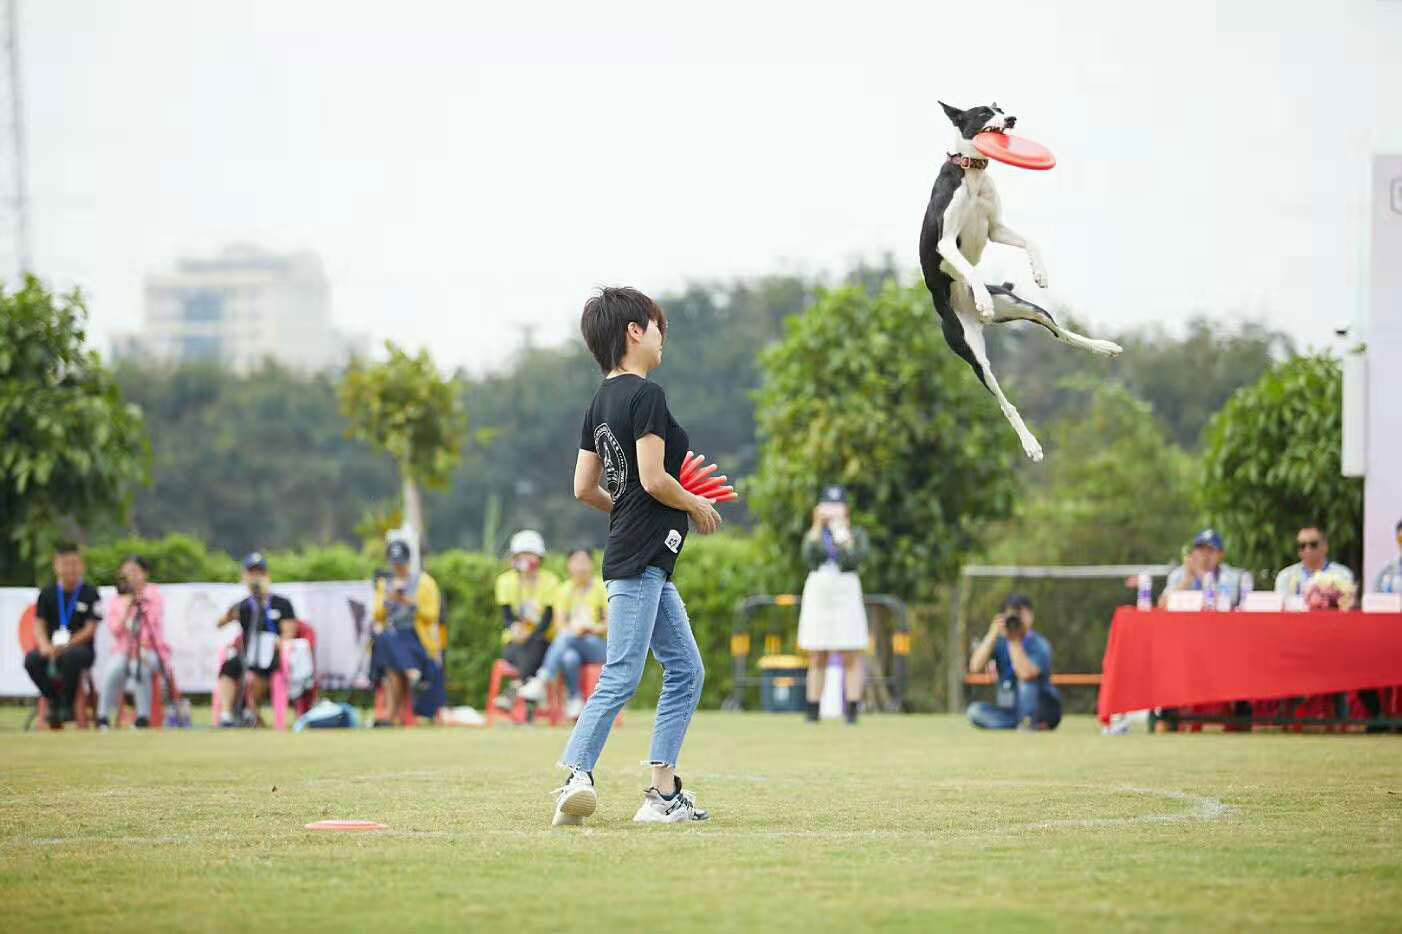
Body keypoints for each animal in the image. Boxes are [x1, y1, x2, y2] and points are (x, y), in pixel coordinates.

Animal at [914, 100, 1121, 457]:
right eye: (983, 113)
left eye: (1001, 107)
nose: (1011, 119)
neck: (972, 173)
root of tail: (975, 321)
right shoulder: (946, 242)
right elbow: (968, 268)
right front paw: (982, 296)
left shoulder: (995, 228)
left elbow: (1030, 242)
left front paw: (1040, 273)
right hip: (973, 354)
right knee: (1004, 403)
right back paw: (1031, 444)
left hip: (1025, 307)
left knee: (1062, 335)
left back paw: (1103, 347)